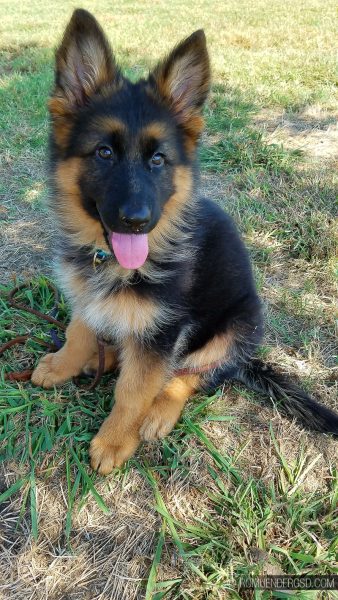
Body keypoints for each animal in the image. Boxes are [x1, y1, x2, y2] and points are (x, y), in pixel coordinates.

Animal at [30, 8, 336, 474]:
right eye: (104, 153)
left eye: (158, 160)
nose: (137, 221)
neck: (109, 258)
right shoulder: (87, 295)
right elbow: (78, 330)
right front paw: (66, 363)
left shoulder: (164, 329)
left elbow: (134, 389)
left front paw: (115, 440)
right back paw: (104, 357)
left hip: (237, 328)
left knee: (189, 375)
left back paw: (158, 411)